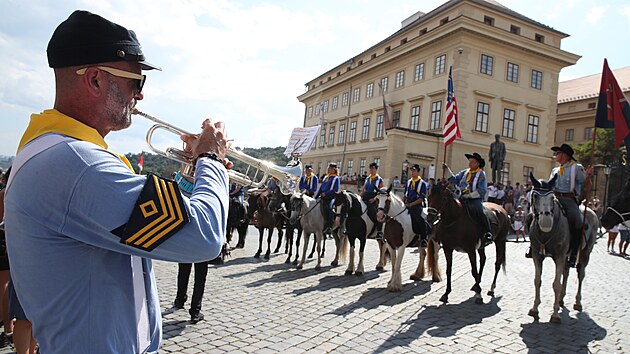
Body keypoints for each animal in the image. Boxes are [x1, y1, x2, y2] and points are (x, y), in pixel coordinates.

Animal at [532, 173, 600, 322]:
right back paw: (561, 300)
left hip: (585, 253)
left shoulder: (559, 256)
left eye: (552, 198)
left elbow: (556, 284)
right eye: (535, 196)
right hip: (568, 256)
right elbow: (537, 281)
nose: (546, 222)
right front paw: (534, 309)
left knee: (580, 274)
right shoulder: (537, 256)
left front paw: (555, 314)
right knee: (567, 272)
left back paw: (578, 302)